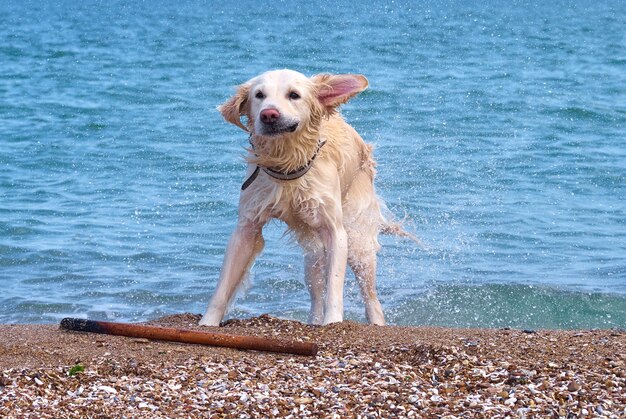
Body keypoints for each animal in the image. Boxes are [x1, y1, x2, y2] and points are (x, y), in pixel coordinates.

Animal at [201, 69, 414, 328]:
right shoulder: (247, 226)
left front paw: (333, 321)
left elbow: (334, 285)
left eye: (294, 95)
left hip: (358, 243)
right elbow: (223, 285)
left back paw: (376, 322)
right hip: (312, 256)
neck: (287, 162)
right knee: (316, 290)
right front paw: (207, 323)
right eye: (259, 95)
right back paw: (313, 320)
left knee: (370, 295)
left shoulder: (335, 231)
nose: (269, 114)